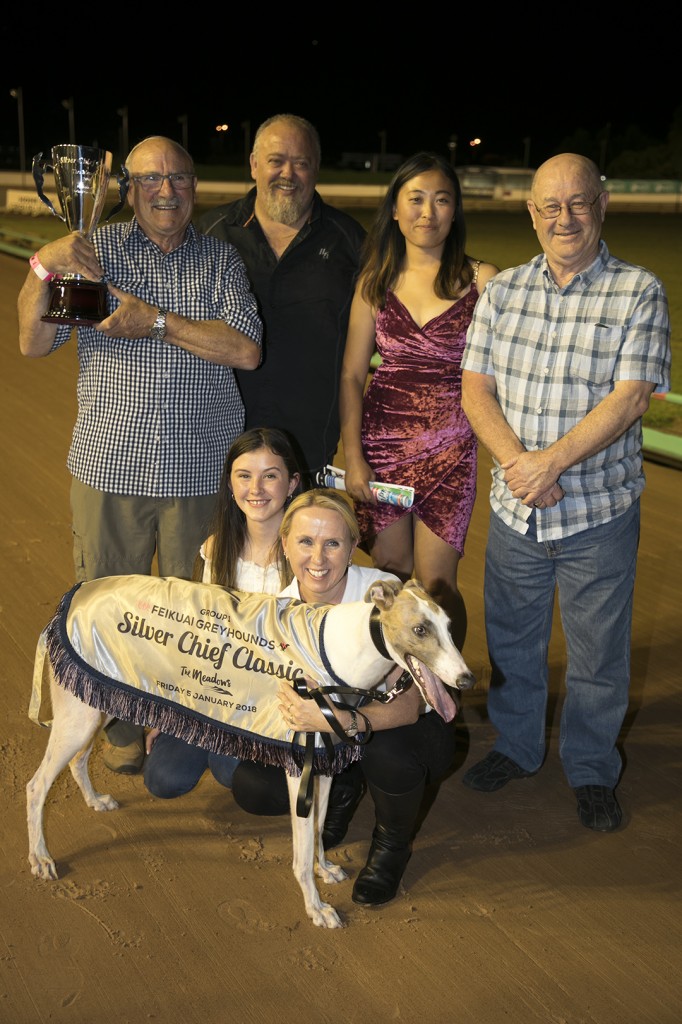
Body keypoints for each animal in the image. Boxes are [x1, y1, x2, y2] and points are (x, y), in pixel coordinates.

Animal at [26, 577, 473, 929]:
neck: (335, 651)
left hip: (93, 704)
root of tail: (76, 593)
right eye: (420, 628)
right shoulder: (299, 767)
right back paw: (40, 858)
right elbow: (301, 851)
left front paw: (324, 867)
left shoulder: (324, 763)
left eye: (450, 627)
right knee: (36, 786)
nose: (466, 680)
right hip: (78, 716)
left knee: (78, 761)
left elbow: (318, 831)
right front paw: (316, 908)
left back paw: (94, 801)